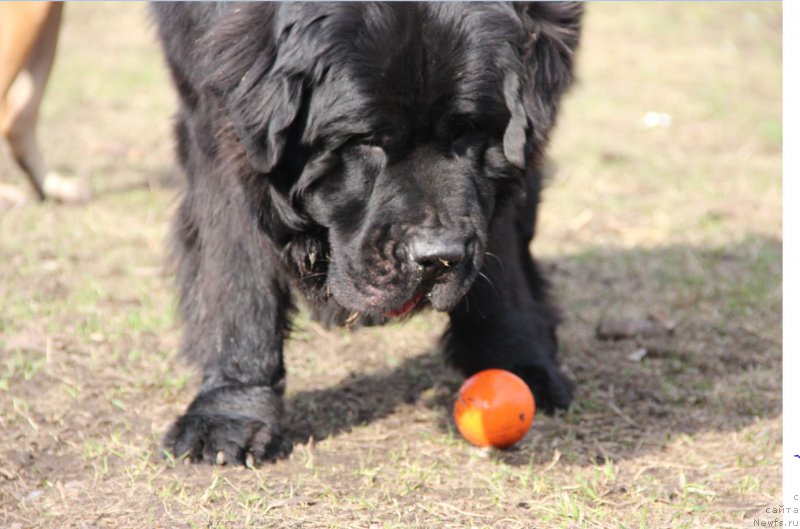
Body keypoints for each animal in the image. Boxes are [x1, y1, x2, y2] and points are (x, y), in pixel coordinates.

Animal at [153, 2, 584, 464]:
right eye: (368, 139)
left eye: (467, 130)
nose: (437, 257)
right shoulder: (220, 122)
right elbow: (239, 278)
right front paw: (230, 414)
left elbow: (502, 259)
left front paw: (518, 362)